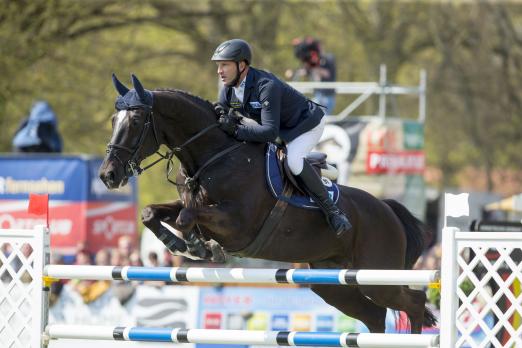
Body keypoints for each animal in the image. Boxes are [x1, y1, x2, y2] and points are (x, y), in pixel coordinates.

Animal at [98, 74, 434, 334]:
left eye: (136, 121)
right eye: (114, 120)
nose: (107, 175)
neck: (212, 156)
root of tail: (389, 210)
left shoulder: (237, 225)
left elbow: (187, 218)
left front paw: (199, 246)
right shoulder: (191, 204)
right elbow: (153, 213)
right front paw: (180, 243)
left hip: (378, 277)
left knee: (414, 303)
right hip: (331, 282)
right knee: (375, 315)